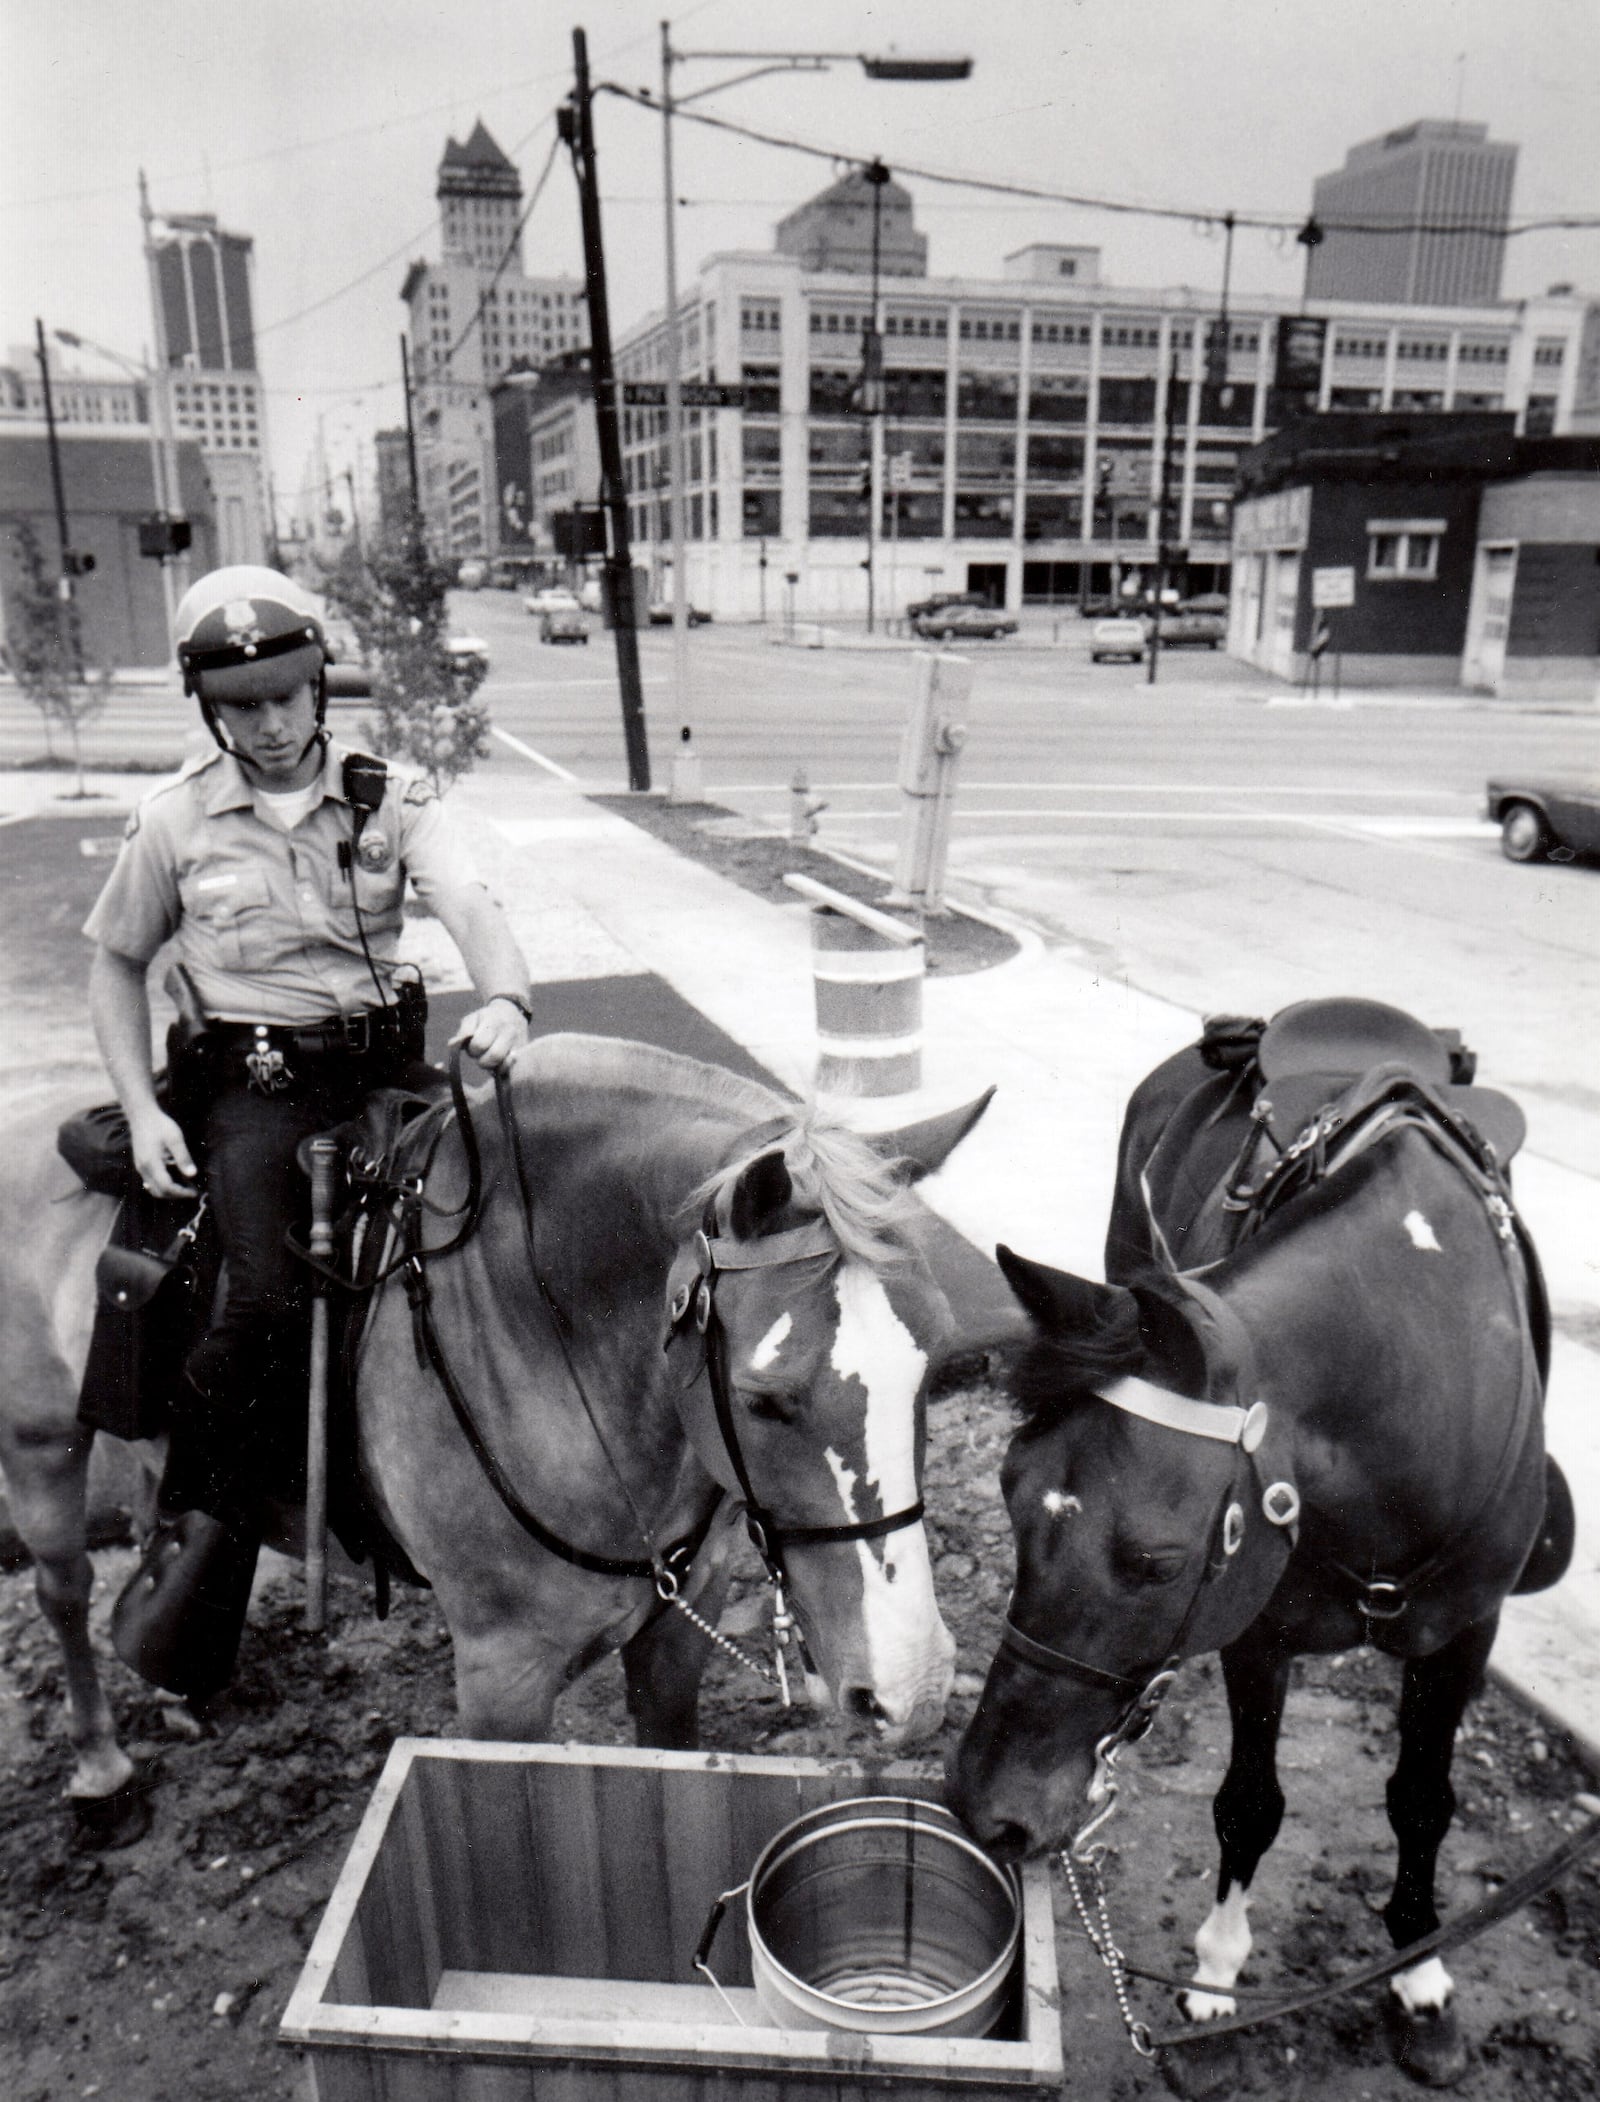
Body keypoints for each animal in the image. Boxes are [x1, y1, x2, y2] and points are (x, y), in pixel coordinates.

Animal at [950, 1004, 1564, 2085]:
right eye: (1009, 1501)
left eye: (1156, 1561)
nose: (986, 1806)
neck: (1421, 1357)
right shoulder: (1258, 1630)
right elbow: (1248, 1800)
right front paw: (1216, 1977)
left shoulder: (1466, 1631)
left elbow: (1421, 1796)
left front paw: (1418, 1973)